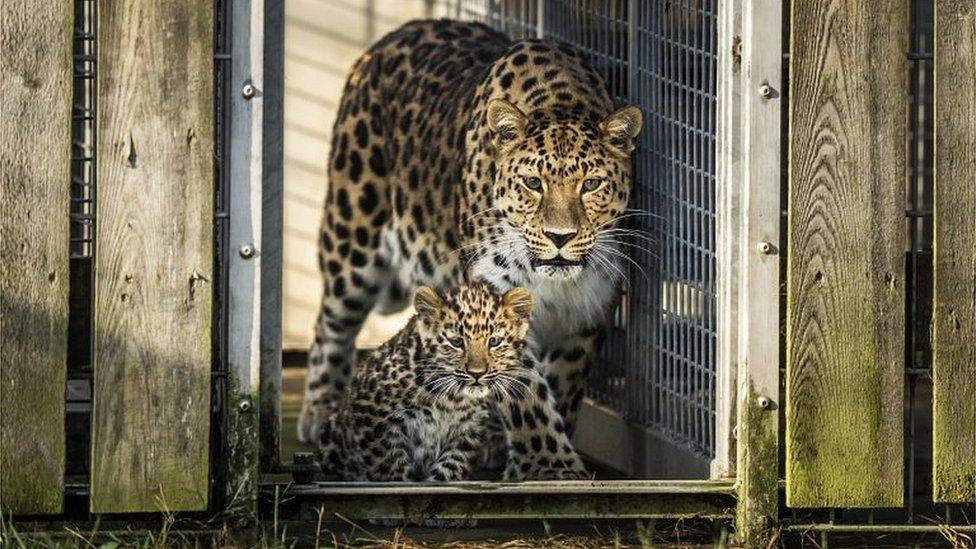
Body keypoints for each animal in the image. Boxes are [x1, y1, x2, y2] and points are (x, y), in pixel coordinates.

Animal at [302, 19, 644, 476]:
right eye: (533, 183)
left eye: (591, 184)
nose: (560, 237)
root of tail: (394, 34)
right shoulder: (497, 295)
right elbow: (528, 398)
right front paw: (549, 466)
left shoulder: (591, 309)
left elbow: (562, 383)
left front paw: (532, 454)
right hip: (353, 232)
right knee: (331, 322)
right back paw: (323, 411)